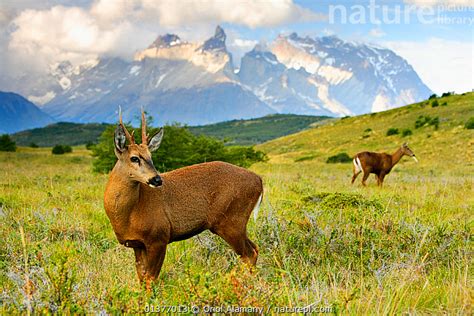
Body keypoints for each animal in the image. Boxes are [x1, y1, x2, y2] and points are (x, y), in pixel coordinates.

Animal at [103, 109, 262, 288]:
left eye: (151, 156)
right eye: (134, 158)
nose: (157, 179)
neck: (129, 214)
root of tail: (259, 180)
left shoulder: (159, 237)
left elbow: (151, 279)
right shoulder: (137, 244)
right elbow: (142, 279)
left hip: (231, 221)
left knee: (249, 254)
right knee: (254, 249)